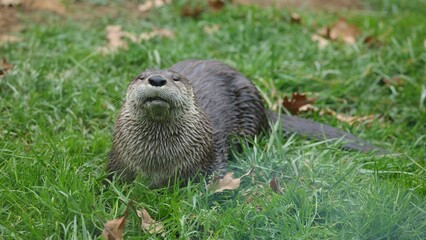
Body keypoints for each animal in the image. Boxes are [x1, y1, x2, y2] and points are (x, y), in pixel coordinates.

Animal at [107, 59, 386, 187]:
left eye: (176, 78)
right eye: (140, 76)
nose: (156, 79)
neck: (158, 160)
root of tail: (262, 104)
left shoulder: (210, 163)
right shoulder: (117, 164)